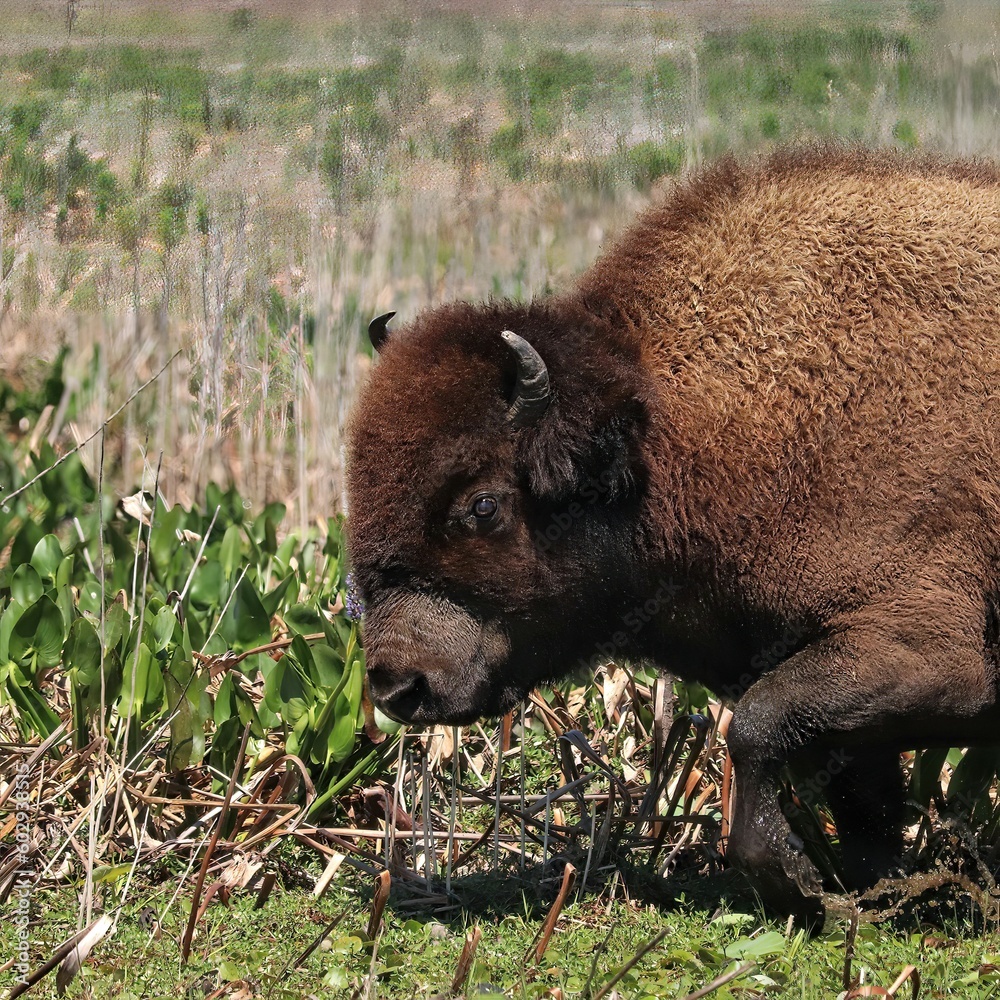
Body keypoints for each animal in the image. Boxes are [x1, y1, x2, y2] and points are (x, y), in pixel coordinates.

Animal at [344, 146, 1000, 920]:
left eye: (483, 505)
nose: (399, 682)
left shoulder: (930, 656)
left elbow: (755, 726)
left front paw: (793, 880)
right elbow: (856, 799)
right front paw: (865, 893)